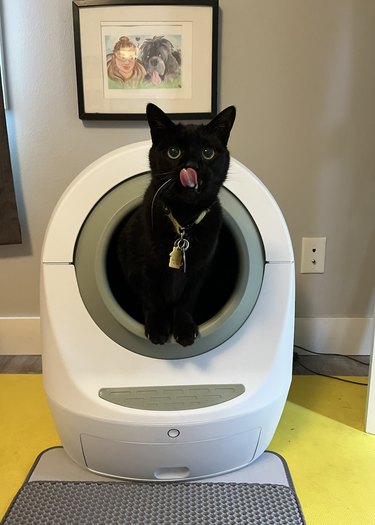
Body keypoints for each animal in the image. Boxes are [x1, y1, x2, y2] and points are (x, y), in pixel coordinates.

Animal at [117, 104, 236, 346]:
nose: (191, 167)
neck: (183, 220)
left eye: (208, 153)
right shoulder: (144, 266)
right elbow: (152, 298)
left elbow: (186, 300)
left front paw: (184, 329)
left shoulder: (199, 270)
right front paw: (157, 329)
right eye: (174, 152)